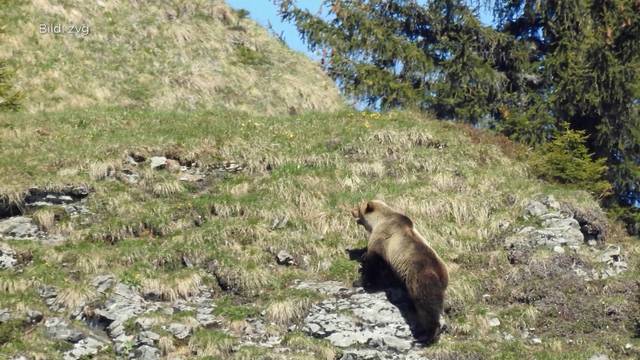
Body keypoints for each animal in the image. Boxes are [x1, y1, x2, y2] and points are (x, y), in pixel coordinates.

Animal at [350, 200, 450, 344]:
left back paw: (426, 335)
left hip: (420, 280)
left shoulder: (382, 241)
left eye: (358, 207)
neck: (379, 221)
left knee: (427, 306)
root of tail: (441, 274)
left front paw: (360, 280)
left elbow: (373, 264)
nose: (351, 210)